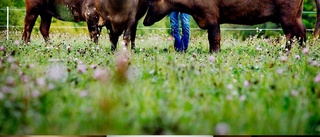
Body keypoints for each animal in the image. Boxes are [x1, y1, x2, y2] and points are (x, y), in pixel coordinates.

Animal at [144, 0, 320, 52]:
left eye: (150, 3)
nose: (144, 21)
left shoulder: (212, 17)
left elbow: (214, 38)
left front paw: (214, 53)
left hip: (287, 14)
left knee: (291, 33)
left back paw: (286, 52)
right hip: (297, 14)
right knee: (302, 31)